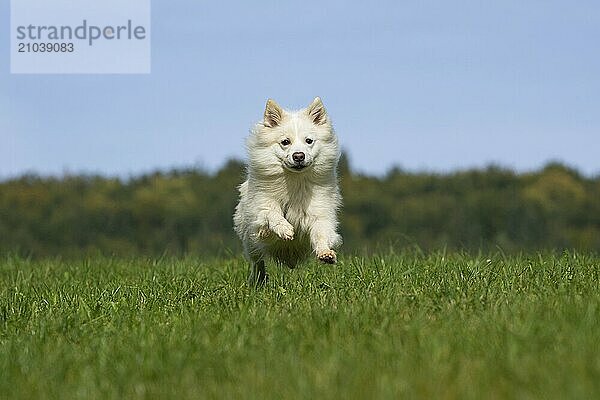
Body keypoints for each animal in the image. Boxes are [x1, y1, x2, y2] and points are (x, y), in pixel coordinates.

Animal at [234, 98, 342, 282]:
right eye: (285, 142)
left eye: (309, 141)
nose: (298, 156)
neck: (294, 180)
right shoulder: (262, 209)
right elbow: (272, 214)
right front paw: (284, 229)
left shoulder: (319, 214)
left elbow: (321, 234)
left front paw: (325, 253)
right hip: (250, 241)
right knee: (257, 261)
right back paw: (258, 280)